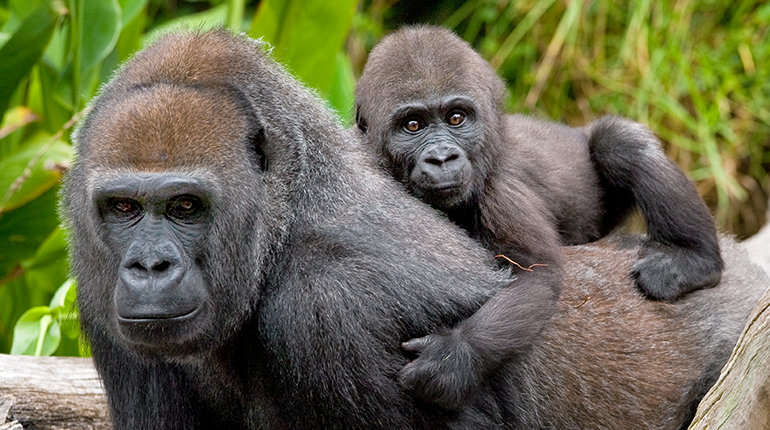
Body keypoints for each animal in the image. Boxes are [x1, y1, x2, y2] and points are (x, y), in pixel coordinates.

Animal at [61, 29, 765, 429]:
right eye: (123, 209)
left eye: (186, 207)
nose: (149, 268)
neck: (280, 232)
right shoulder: (97, 296)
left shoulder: (330, 308)